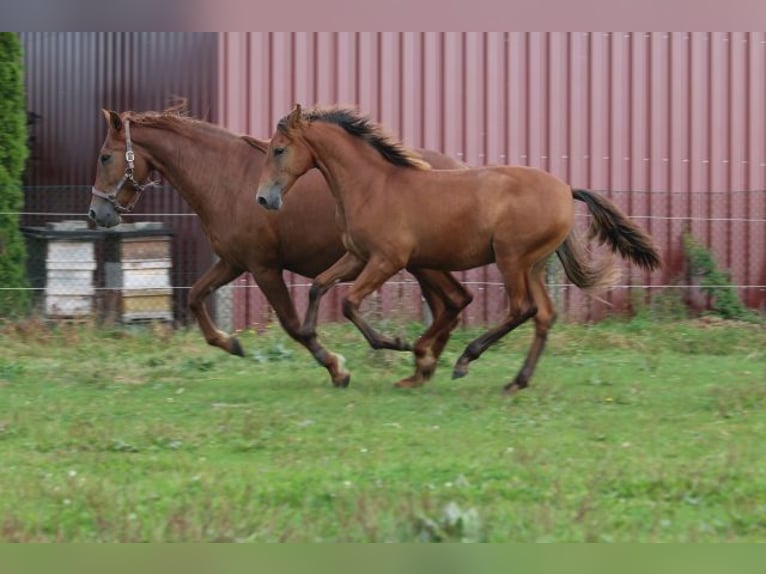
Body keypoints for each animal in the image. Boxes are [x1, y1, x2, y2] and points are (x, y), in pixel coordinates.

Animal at [87, 106, 472, 390]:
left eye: (105, 156)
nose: (96, 213)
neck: (227, 178)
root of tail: (460, 167)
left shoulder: (264, 267)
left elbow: (292, 324)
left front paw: (337, 368)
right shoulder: (232, 263)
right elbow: (196, 296)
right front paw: (231, 344)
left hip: (421, 264)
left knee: (452, 304)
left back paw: (426, 361)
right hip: (421, 265)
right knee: (449, 306)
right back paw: (426, 364)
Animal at [255, 106, 664, 394]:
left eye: (279, 149)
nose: (264, 198)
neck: (373, 185)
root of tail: (566, 189)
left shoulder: (388, 260)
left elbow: (349, 303)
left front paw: (396, 343)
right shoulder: (357, 256)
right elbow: (319, 287)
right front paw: (326, 355)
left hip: (511, 258)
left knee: (521, 309)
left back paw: (466, 359)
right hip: (532, 264)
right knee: (545, 315)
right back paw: (516, 381)